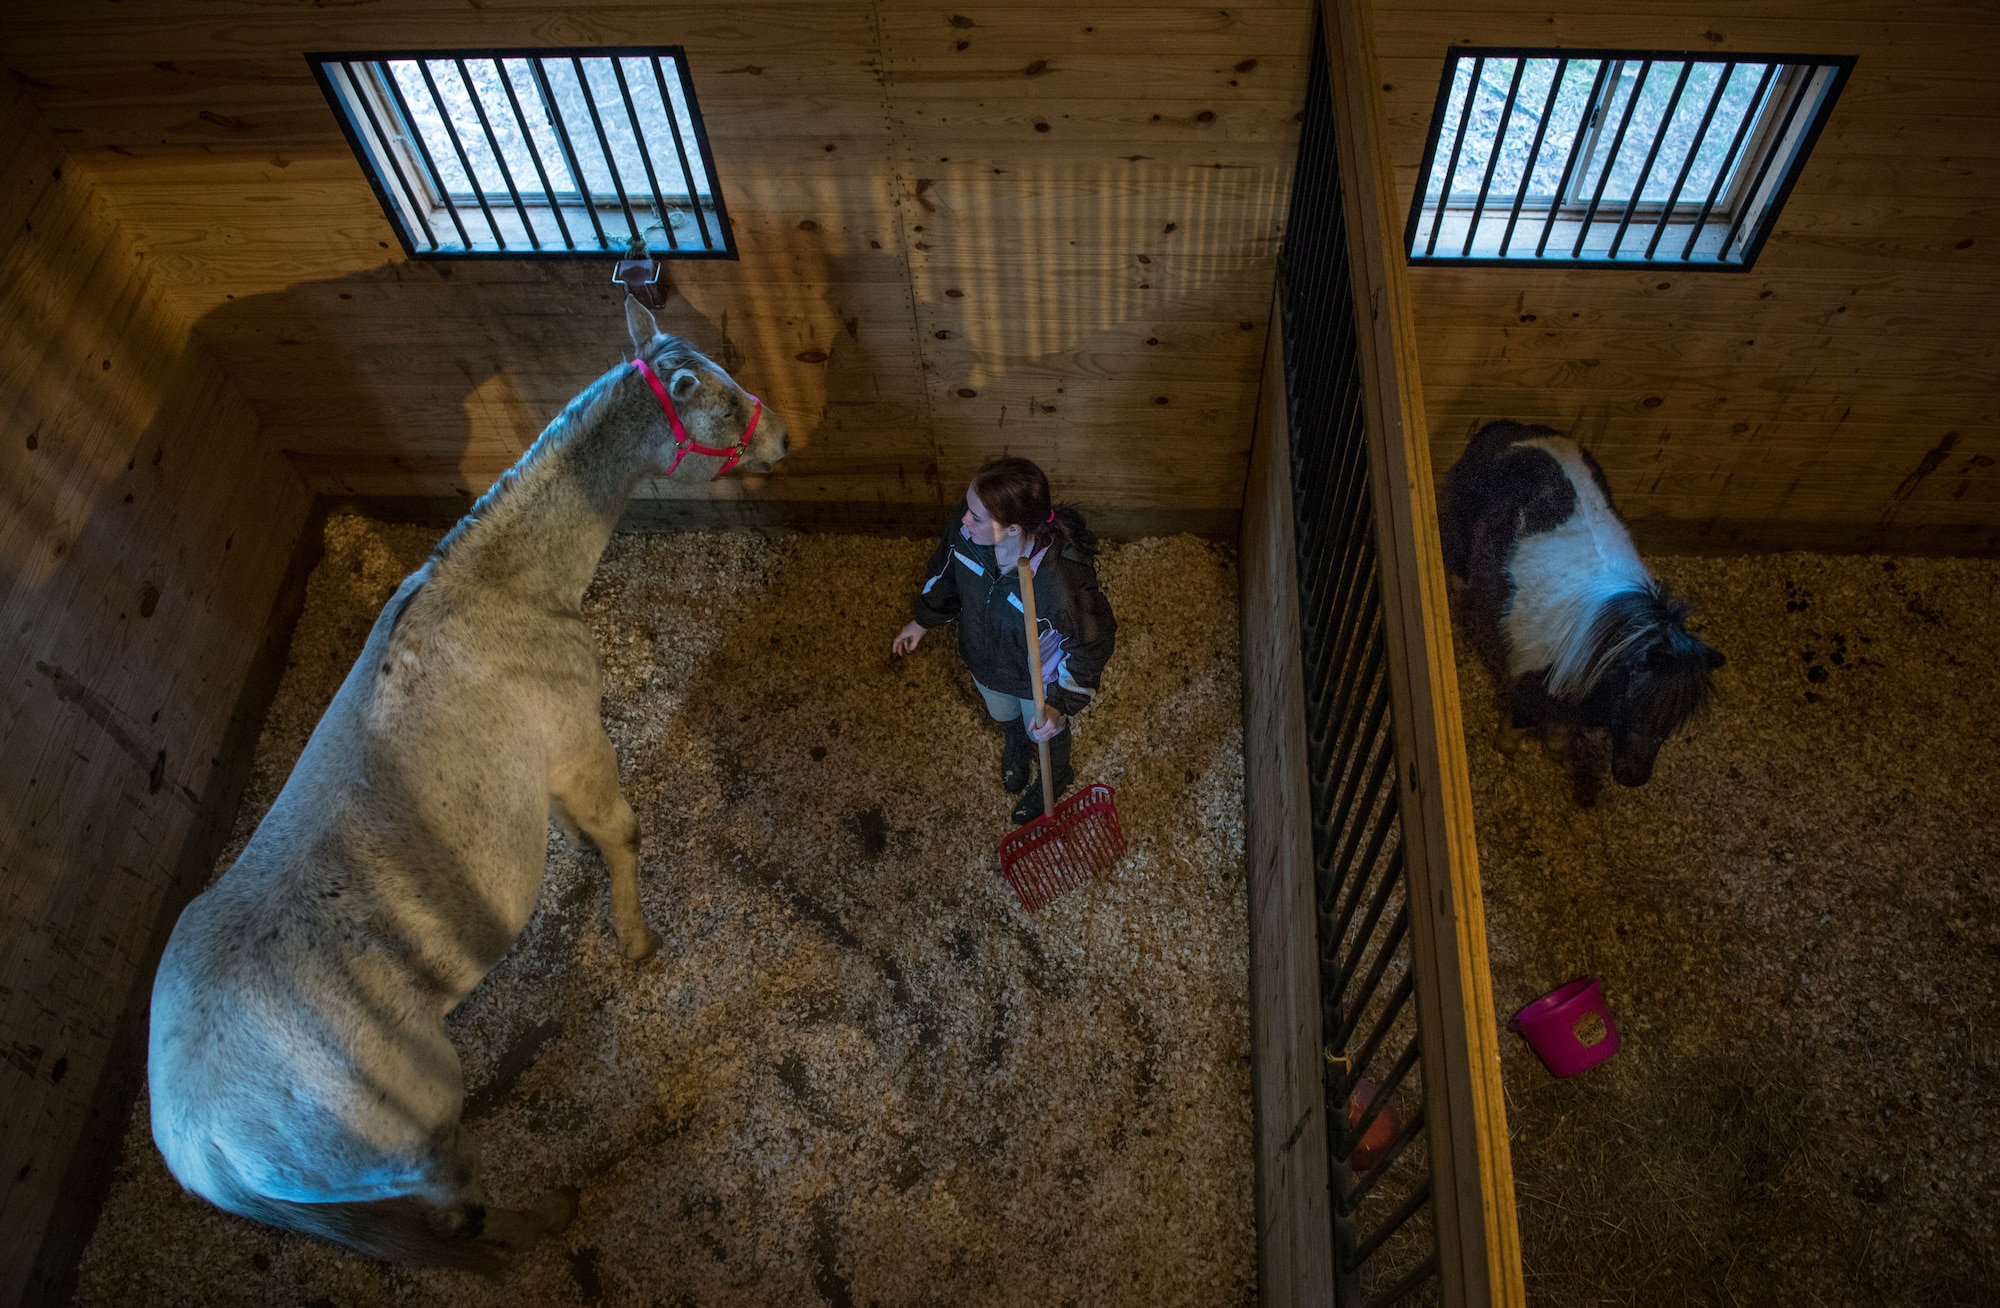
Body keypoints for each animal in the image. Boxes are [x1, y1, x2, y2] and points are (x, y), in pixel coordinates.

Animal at [146, 304, 788, 1272]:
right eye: (718, 394)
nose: (783, 437)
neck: (501, 587)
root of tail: (201, 1145)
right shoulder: (575, 741)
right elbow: (621, 835)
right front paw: (637, 941)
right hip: (423, 1139)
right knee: (458, 1213)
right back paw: (542, 1219)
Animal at [1440, 426, 1720, 804]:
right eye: (1634, 700)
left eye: (1675, 718)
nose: (1632, 776)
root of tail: (1503, 429)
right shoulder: (1528, 681)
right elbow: (1522, 717)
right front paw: (1505, 748)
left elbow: (1560, 726)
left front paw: (1554, 748)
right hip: (1458, 528)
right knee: (1456, 564)